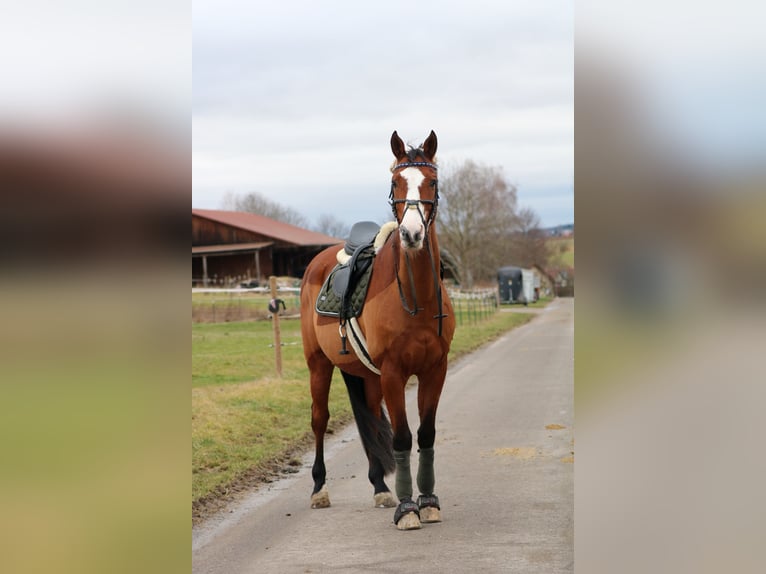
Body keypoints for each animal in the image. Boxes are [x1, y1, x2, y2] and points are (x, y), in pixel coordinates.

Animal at [300, 130, 456, 532]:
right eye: (395, 182)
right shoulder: (393, 373)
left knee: (369, 418)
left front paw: (428, 502)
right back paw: (318, 490)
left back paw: (380, 488)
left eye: (432, 182)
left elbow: (426, 434)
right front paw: (408, 509)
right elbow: (401, 437)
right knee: (319, 419)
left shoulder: (435, 370)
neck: (415, 297)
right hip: (319, 366)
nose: (412, 234)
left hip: (366, 375)